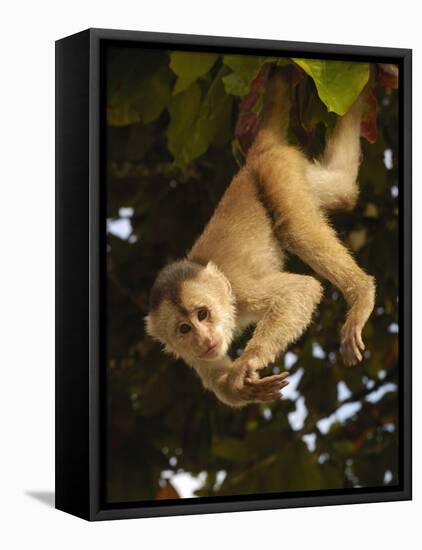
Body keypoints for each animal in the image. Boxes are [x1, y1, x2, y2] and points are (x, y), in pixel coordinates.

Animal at [146, 69, 376, 410]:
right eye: (185, 329)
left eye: (203, 314)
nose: (203, 338)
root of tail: (255, 156)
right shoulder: (193, 354)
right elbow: (216, 377)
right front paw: (240, 388)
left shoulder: (241, 291)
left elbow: (300, 291)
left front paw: (249, 361)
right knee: (344, 191)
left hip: (277, 169)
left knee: (295, 227)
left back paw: (360, 293)